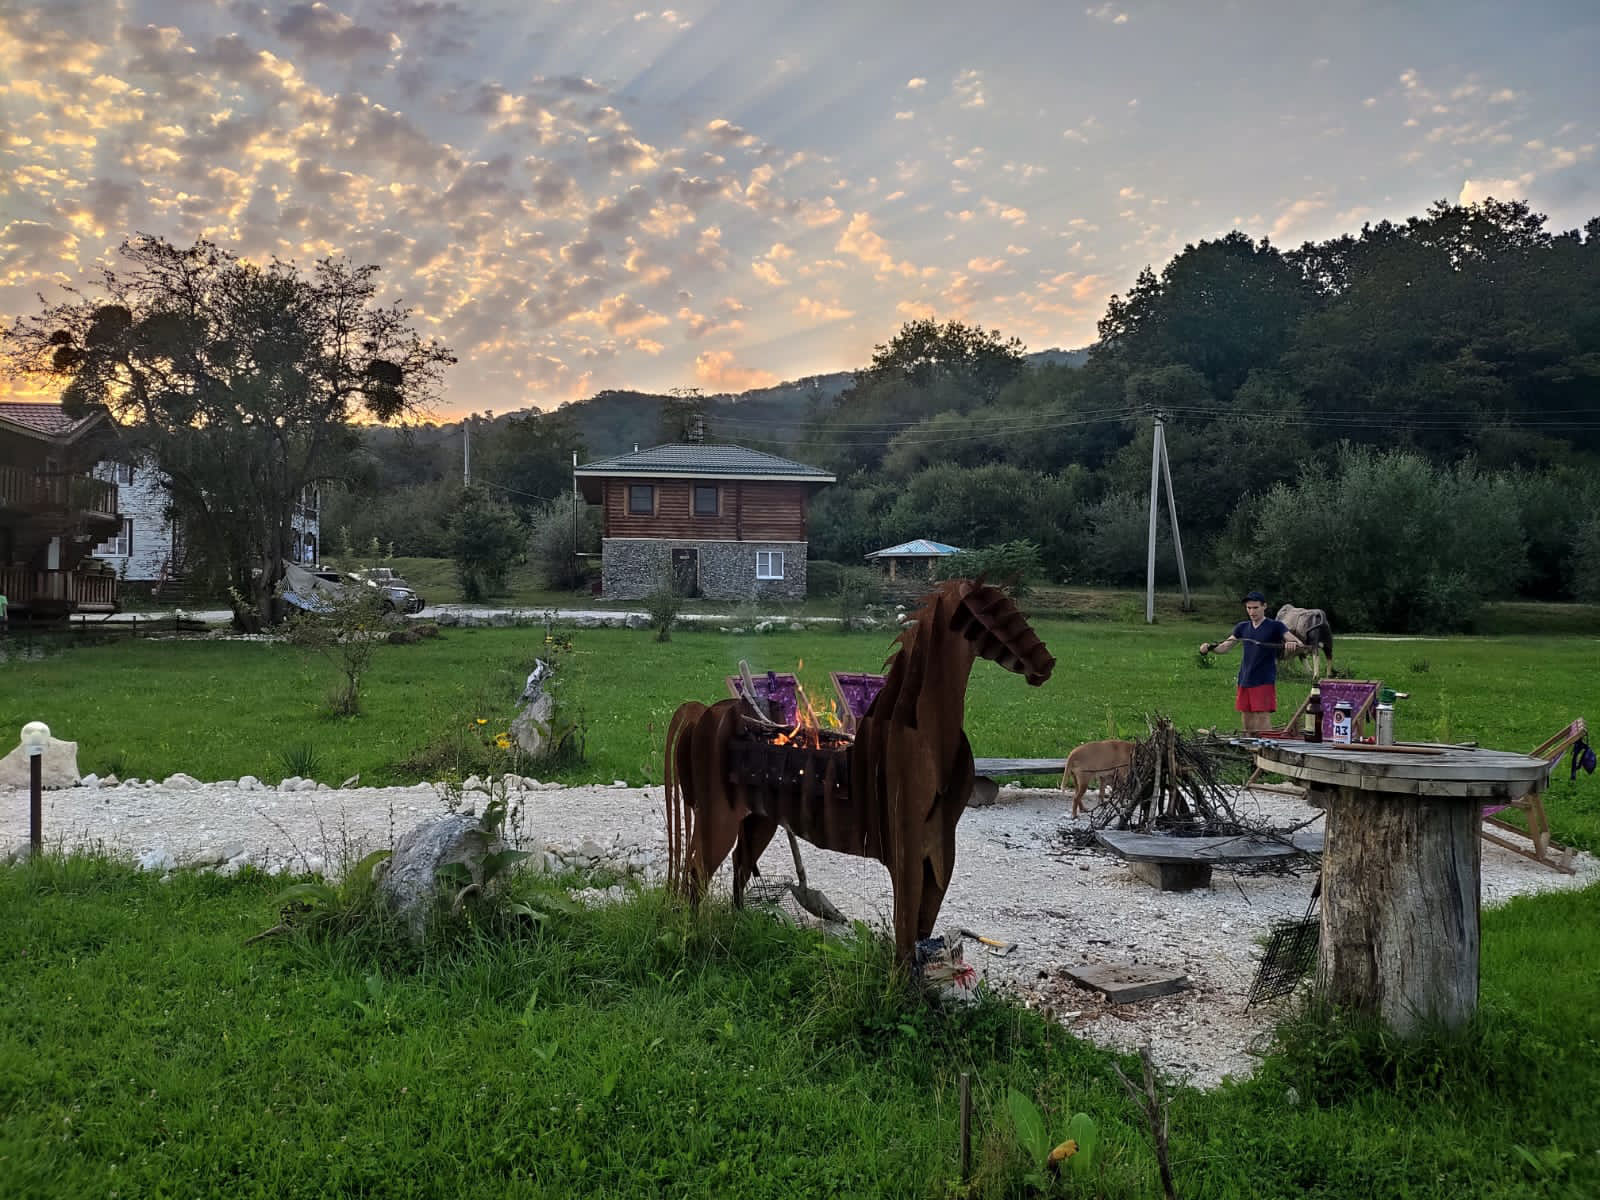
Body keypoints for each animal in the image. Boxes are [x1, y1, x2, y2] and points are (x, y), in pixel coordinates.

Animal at [656, 582, 1056, 966]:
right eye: (988, 612)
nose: (1045, 664)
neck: (924, 740)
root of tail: (708, 714)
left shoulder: (939, 849)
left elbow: (922, 925)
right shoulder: (906, 853)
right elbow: (905, 927)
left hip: (758, 820)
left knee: (739, 866)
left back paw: (739, 926)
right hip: (718, 820)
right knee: (696, 877)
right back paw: (693, 938)